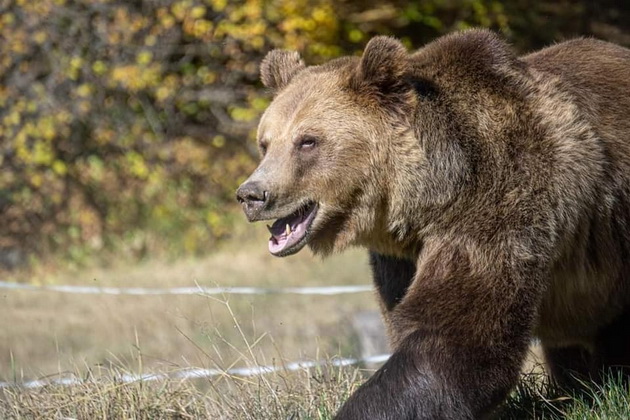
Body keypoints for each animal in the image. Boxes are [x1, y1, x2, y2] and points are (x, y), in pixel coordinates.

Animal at [236, 28, 630, 416]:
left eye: (307, 141)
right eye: (265, 143)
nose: (252, 194)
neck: (431, 196)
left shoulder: (496, 202)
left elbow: (453, 341)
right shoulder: (400, 259)